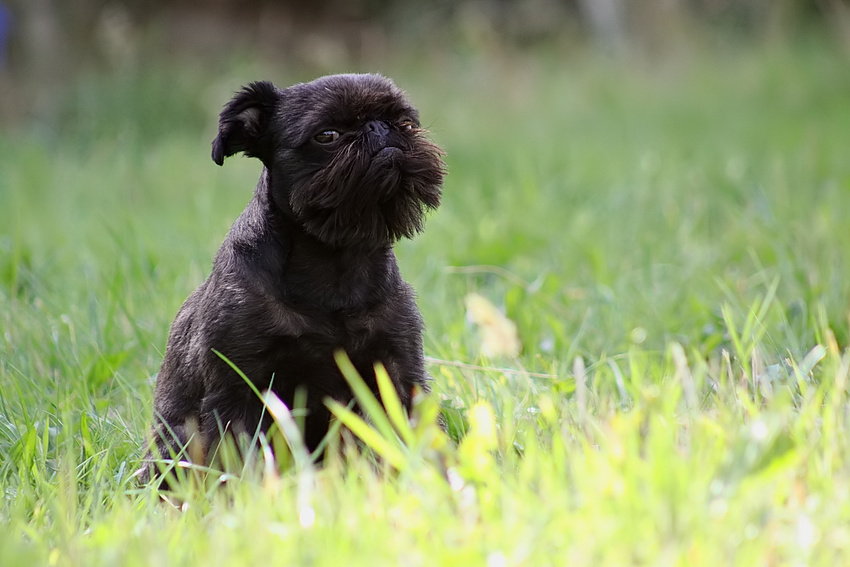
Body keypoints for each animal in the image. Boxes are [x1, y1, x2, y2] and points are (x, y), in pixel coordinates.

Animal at [139, 73, 444, 484]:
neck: (336, 259)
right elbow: (241, 456)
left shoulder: (399, 368)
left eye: (407, 123)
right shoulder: (239, 387)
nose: (379, 128)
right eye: (327, 135)